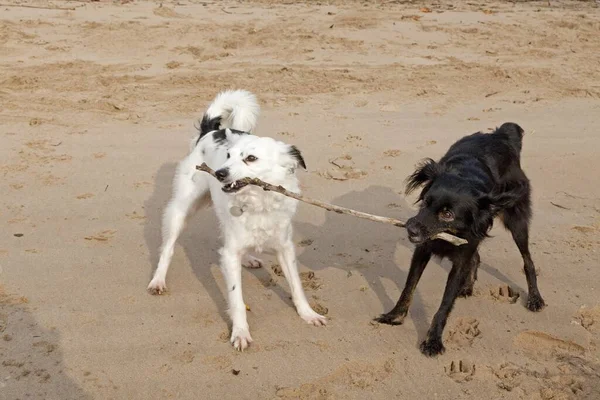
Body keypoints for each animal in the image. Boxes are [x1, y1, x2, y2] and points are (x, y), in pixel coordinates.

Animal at [150, 89, 328, 348]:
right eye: (228, 155)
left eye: (250, 158)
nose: (219, 173)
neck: (258, 203)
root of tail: (210, 131)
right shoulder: (232, 253)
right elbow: (236, 299)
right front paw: (240, 332)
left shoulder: (285, 248)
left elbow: (296, 285)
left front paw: (308, 314)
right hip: (181, 209)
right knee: (168, 248)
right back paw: (158, 280)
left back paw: (249, 259)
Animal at [378, 122, 548, 356]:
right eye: (426, 202)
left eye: (447, 214)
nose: (410, 229)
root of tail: (500, 134)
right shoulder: (423, 249)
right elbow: (408, 287)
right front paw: (395, 316)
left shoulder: (459, 259)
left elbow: (444, 304)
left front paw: (433, 341)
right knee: (476, 257)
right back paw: (467, 286)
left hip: (516, 222)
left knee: (528, 260)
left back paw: (534, 298)